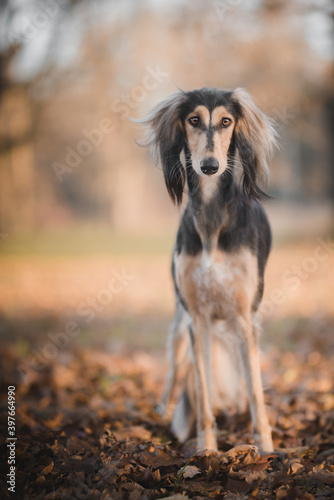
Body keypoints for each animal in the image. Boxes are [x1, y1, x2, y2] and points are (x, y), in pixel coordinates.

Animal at [137, 86, 278, 454]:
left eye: (226, 121)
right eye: (193, 120)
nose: (210, 166)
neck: (214, 217)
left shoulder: (244, 318)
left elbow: (255, 388)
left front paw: (266, 447)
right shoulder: (197, 320)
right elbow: (201, 390)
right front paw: (207, 449)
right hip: (180, 326)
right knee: (178, 373)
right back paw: (163, 411)